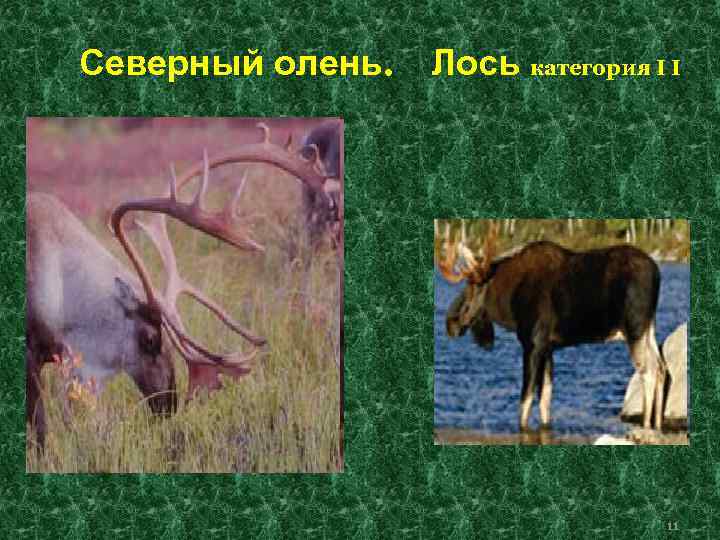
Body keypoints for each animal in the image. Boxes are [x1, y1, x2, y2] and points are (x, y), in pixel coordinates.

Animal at [435, 222, 667, 434]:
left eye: (472, 286)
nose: (451, 322)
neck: (508, 302)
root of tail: (657, 273)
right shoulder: (548, 348)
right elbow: (545, 400)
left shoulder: (533, 344)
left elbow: (525, 401)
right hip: (649, 329)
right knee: (661, 368)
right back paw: (657, 424)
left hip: (634, 329)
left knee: (648, 371)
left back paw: (647, 425)